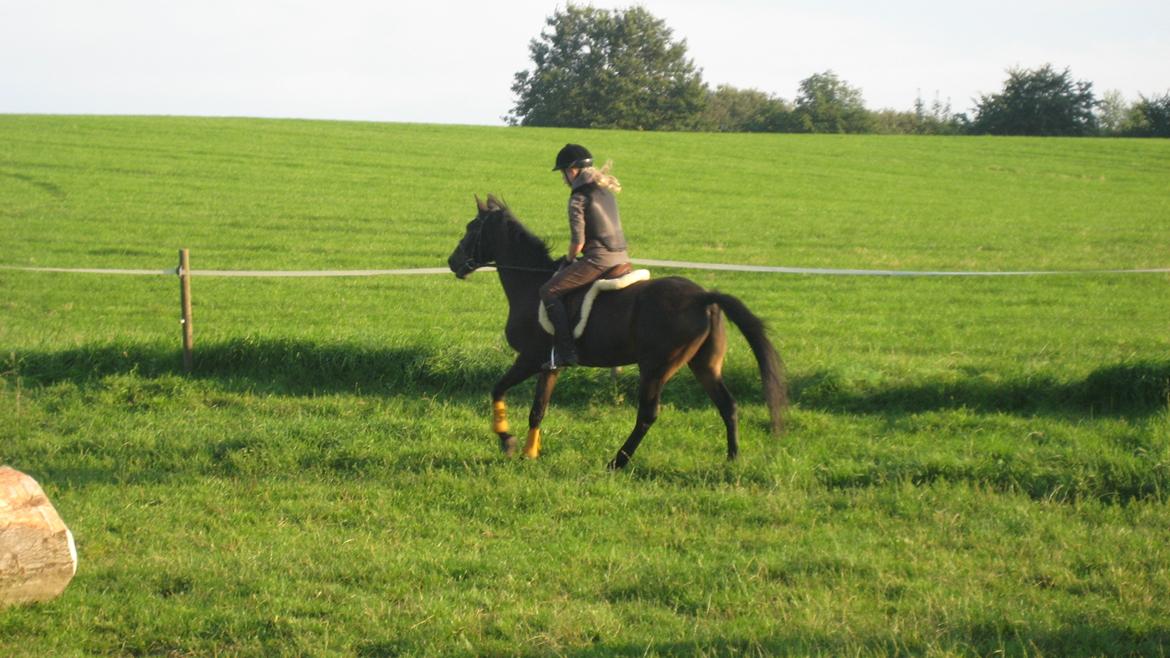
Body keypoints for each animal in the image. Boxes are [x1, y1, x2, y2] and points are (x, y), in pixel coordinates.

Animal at [446, 192, 786, 468]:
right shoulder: (550, 364)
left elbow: (498, 389)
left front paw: (508, 441)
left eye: (471, 228)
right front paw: (530, 452)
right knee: (728, 405)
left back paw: (618, 461)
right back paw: (733, 457)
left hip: (656, 368)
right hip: (704, 365)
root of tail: (703, 297)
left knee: (648, 414)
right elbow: (537, 409)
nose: (452, 262)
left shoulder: (529, 358)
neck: (530, 282)